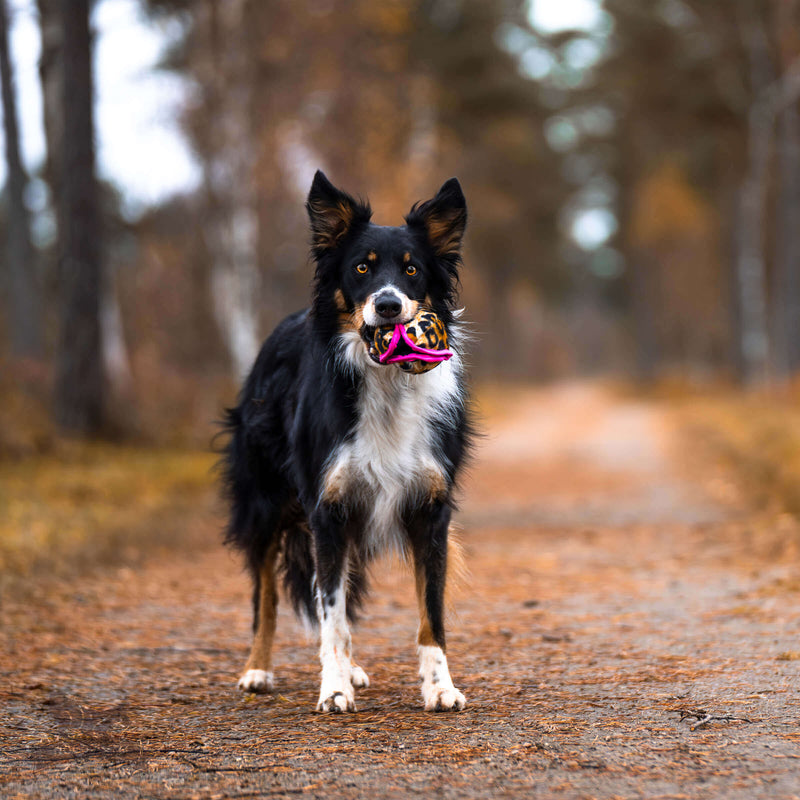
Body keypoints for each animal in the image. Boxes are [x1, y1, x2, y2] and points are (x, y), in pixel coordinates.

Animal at [222, 170, 472, 712]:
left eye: (413, 270)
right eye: (361, 267)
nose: (388, 305)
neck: (385, 382)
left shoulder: (429, 509)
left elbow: (431, 612)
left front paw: (440, 686)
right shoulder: (328, 508)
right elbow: (329, 614)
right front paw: (333, 689)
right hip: (266, 501)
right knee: (267, 595)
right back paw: (258, 668)